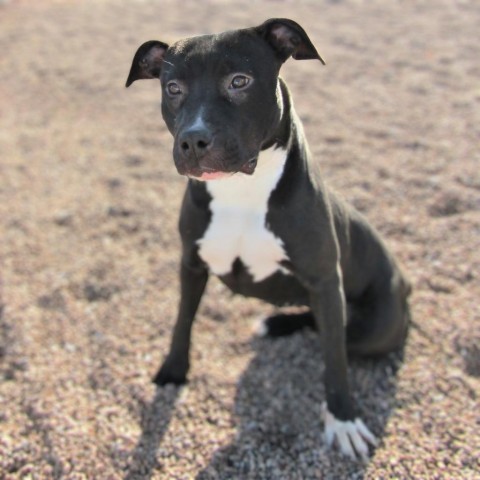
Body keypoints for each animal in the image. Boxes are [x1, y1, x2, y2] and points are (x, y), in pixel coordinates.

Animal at [125, 17, 410, 462]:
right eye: (172, 88)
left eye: (239, 81)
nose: (193, 140)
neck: (242, 191)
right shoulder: (191, 264)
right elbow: (182, 321)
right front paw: (172, 372)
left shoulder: (325, 280)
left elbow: (335, 361)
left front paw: (343, 419)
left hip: (374, 326)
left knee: (339, 336)